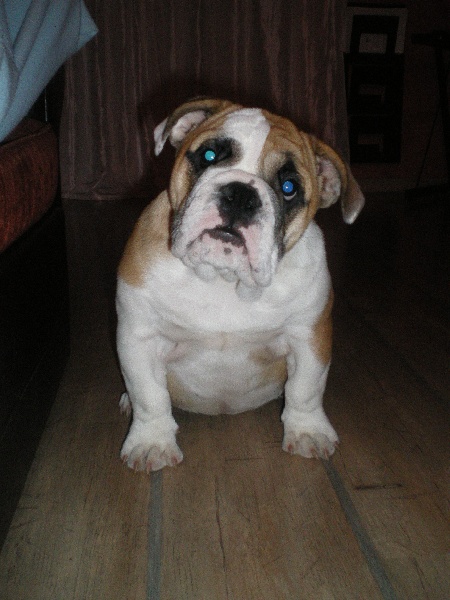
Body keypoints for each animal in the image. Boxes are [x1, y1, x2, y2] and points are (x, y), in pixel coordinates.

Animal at [116, 98, 364, 472]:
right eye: (208, 156)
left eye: (289, 188)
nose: (241, 193)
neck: (223, 278)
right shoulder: (139, 335)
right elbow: (149, 394)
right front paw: (151, 442)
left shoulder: (309, 336)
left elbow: (306, 388)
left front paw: (307, 431)